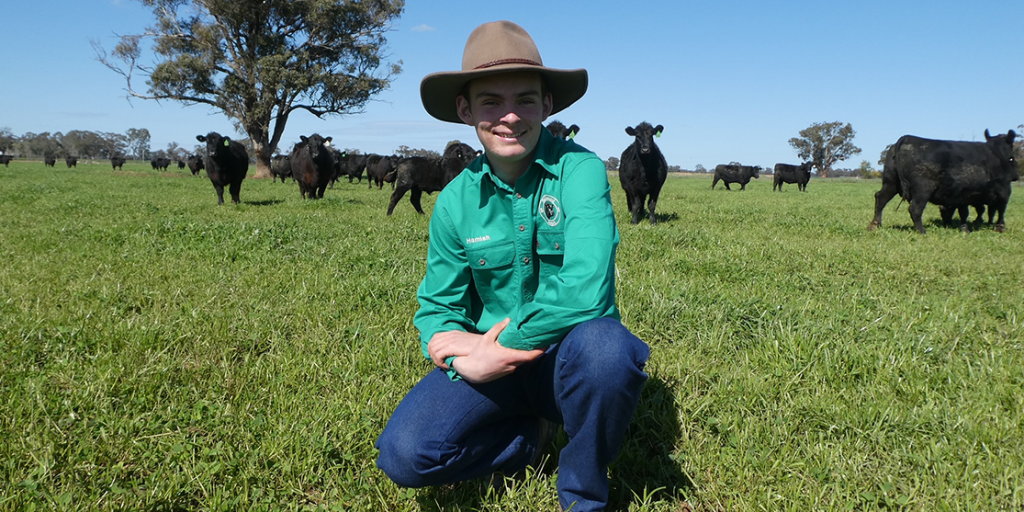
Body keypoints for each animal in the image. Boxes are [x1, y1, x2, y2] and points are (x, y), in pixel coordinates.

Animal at [868, 129, 1019, 233]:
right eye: (1012, 158)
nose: (1016, 176)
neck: (997, 154)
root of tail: (907, 138)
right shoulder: (1004, 191)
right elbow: (999, 209)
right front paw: (999, 227)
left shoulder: (963, 195)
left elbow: (966, 212)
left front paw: (965, 228)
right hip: (923, 189)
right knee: (915, 208)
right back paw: (922, 231)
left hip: (891, 182)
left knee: (881, 198)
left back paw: (875, 225)